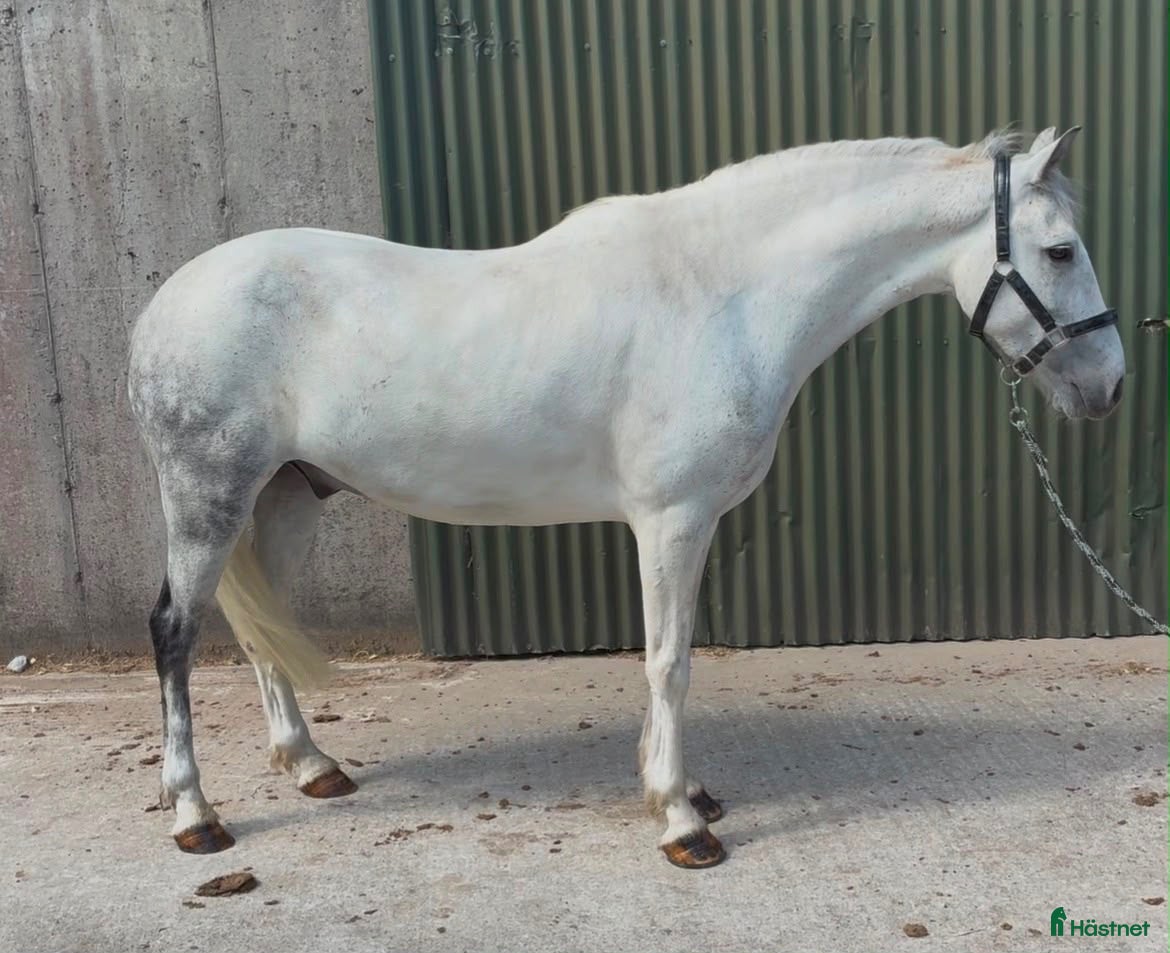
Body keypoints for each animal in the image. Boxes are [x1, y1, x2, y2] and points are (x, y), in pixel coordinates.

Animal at [127, 127, 1124, 868]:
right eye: (1061, 248)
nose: (1109, 386)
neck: (725, 295)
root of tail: (163, 307)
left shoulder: (688, 522)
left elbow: (665, 655)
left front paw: (677, 788)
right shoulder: (671, 518)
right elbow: (669, 661)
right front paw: (682, 822)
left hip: (284, 499)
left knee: (260, 627)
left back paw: (312, 766)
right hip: (209, 497)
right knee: (176, 630)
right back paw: (196, 814)